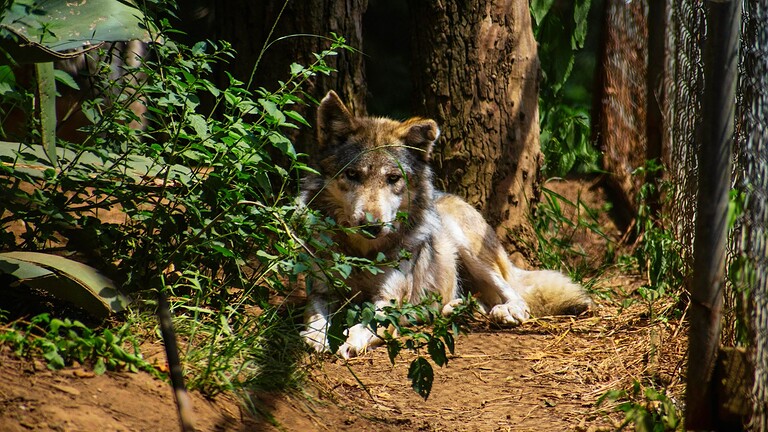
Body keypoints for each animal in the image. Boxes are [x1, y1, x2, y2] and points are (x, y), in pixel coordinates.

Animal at [300, 91, 592, 359]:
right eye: (352, 174)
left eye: (393, 178)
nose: (371, 226)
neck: (362, 253)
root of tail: (448, 196)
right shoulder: (321, 292)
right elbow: (315, 319)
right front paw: (317, 338)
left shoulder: (387, 303)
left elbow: (364, 325)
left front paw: (348, 342)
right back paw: (459, 309)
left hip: (469, 249)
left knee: (515, 294)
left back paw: (508, 311)